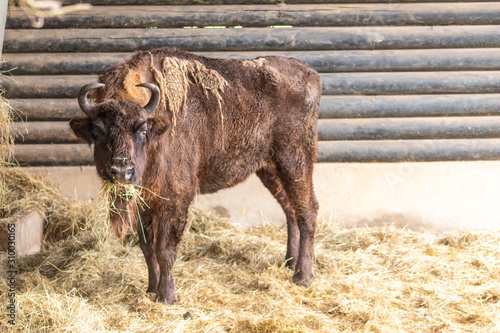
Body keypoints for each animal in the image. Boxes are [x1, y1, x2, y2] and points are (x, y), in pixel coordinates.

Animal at [69, 46, 320, 304]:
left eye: (142, 130)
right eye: (98, 132)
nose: (121, 171)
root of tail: (310, 73)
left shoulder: (176, 197)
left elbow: (165, 249)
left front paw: (167, 296)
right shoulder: (145, 201)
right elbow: (147, 248)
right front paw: (151, 290)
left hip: (295, 160)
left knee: (307, 210)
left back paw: (303, 276)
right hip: (269, 168)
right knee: (290, 208)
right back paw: (289, 263)